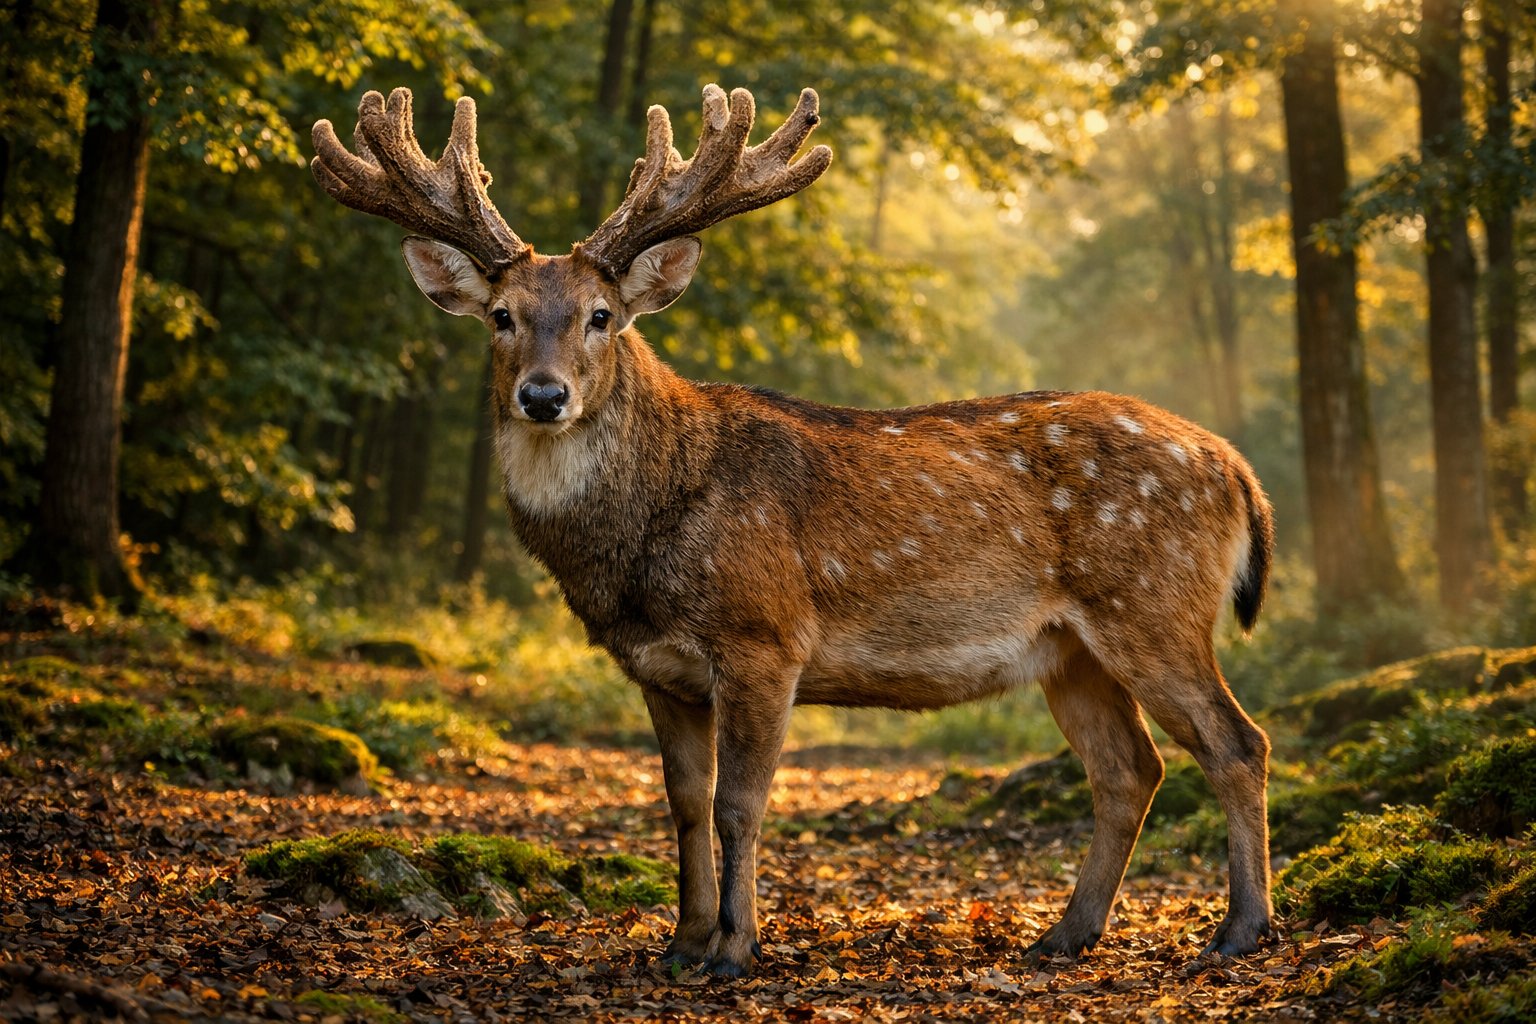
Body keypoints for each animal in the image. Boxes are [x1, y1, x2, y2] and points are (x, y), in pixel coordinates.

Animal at [311, 84, 1276, 977]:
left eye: (601, 316)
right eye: (502, 315)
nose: (543, 395)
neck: (644, 540)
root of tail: (1237, 469)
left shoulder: (764, 637)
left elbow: (741, 803)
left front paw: (735, 949)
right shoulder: (657, 669)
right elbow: (682, 803)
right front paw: (681, 942)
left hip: (1153, 604)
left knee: (1236, 743)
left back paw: (1239, 930)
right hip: (1070, 650)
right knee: (1130, 770)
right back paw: (1066, 934)